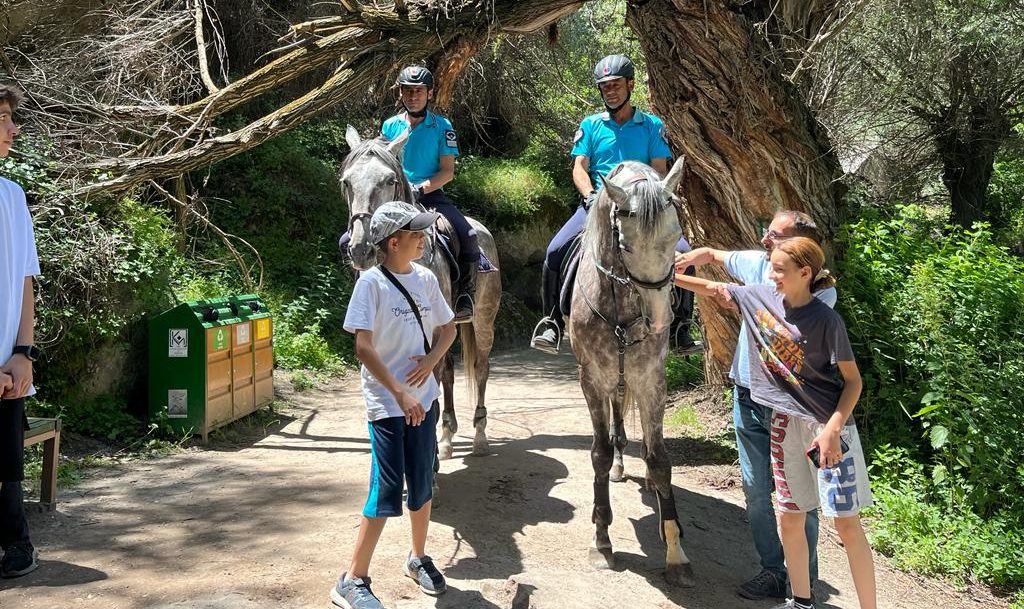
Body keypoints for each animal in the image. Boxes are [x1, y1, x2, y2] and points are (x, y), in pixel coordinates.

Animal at [342, 127, 501, 458]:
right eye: (347, 182)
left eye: (389, 180)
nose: (361, 248)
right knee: (450, 372)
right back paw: (448, 435)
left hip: (483, 321)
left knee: (480, 368)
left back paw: (479, 437)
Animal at [569, 157, 696, 585]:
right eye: (625, 245)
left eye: (677, 236)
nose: (659, 321)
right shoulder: (592, 380)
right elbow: (599, 453)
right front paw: (602, 540)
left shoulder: (651, 380)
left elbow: (659, 461)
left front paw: (675, 551)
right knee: (615, 429)